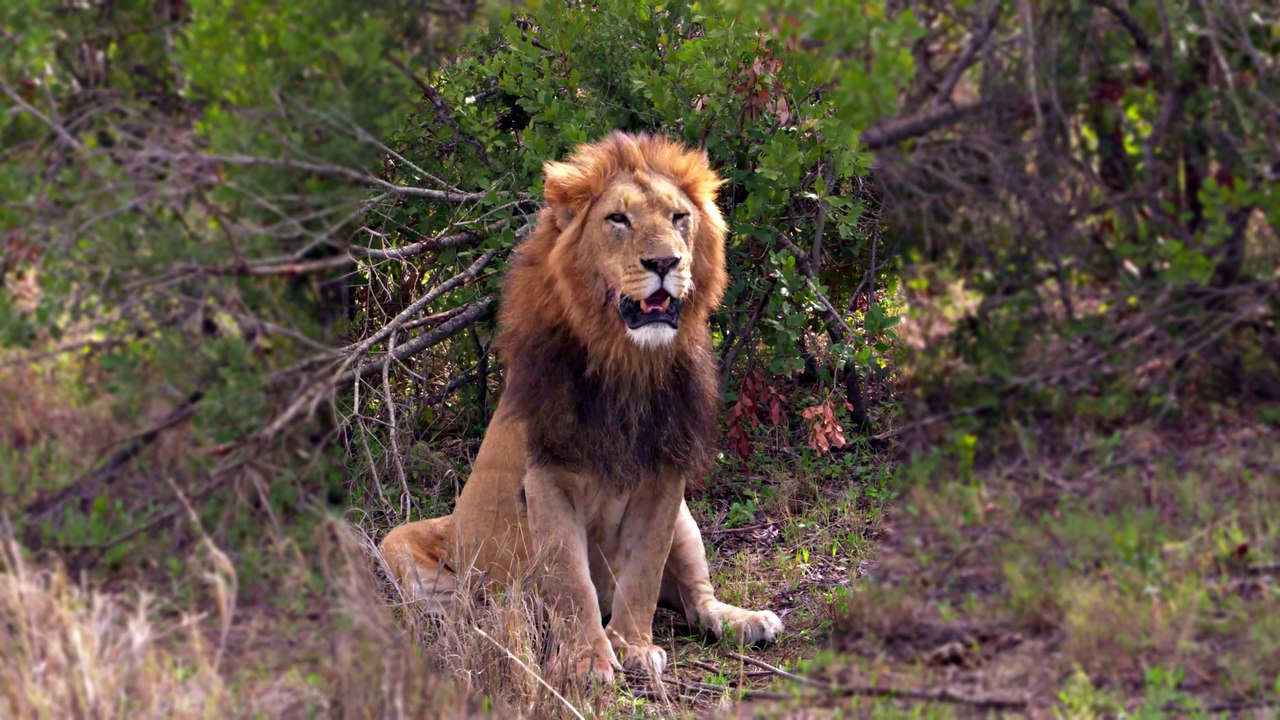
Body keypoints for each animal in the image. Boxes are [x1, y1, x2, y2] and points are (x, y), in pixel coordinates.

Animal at [379, 132, 783, 681]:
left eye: (679, 217)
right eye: (618, 219)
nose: (665, 263)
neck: (629, 362)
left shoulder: (666, 479)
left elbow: (644, 570)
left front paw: (633, 646)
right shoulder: (547, 478)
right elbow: (572, 581)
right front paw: (589, 658)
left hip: (687, 522)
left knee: (695, 601)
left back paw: (745, 620)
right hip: (400, 545)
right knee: (457, 605)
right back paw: (496, 620)